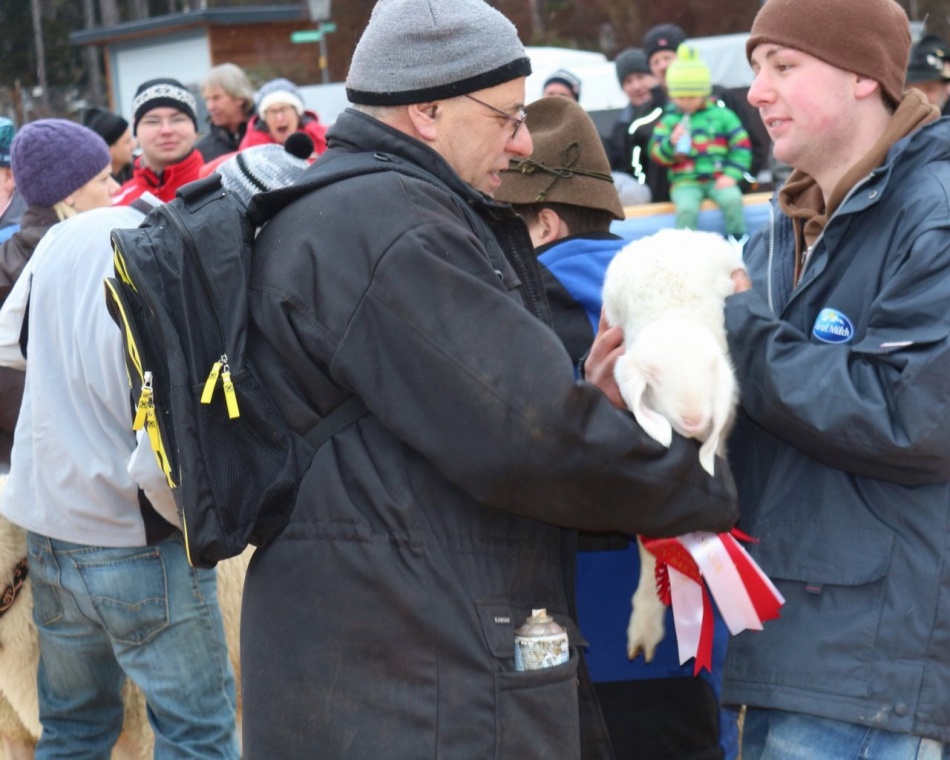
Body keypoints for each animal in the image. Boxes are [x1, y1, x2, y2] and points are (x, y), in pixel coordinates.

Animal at [600, 228, 744, 662]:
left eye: (710, 376)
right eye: (655, 380)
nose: (694, 418)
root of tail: (672, 232)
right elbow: (653, 543)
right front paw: (646, 623)